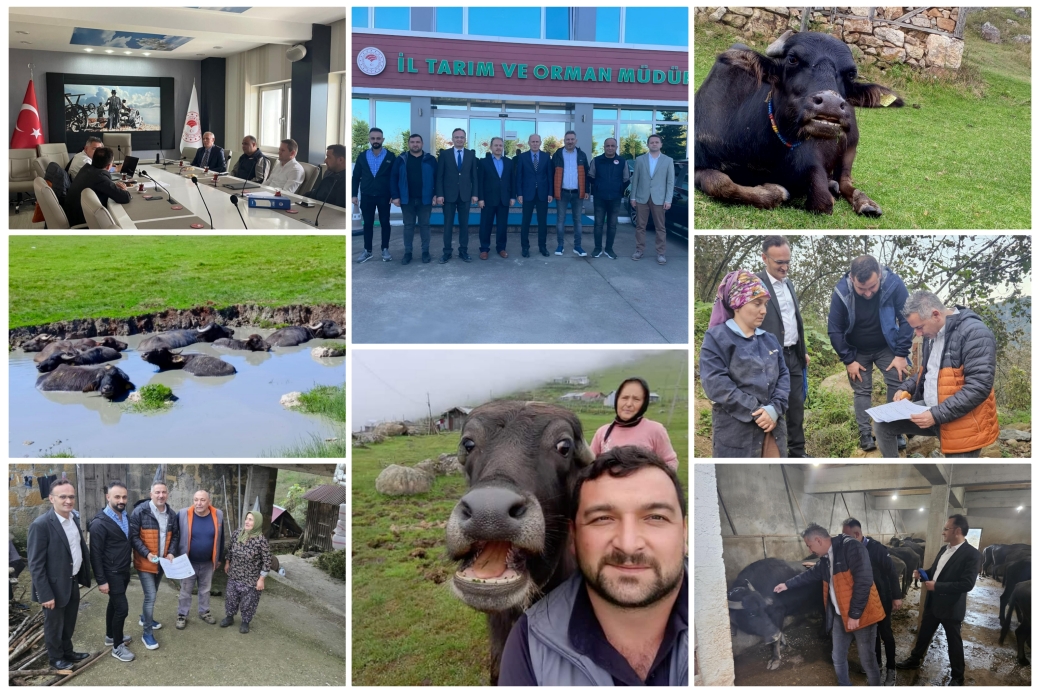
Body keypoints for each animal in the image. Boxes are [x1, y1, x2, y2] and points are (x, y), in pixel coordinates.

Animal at [694, 29, 906, 213]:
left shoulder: (814, 164)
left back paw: (866, 204)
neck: (762, 151)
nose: (830, 104)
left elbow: (822, 202)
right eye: (792, 59)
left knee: (846, 181)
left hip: (851, 147)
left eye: (851, 74)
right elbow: (720, 184)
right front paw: (775, 191)